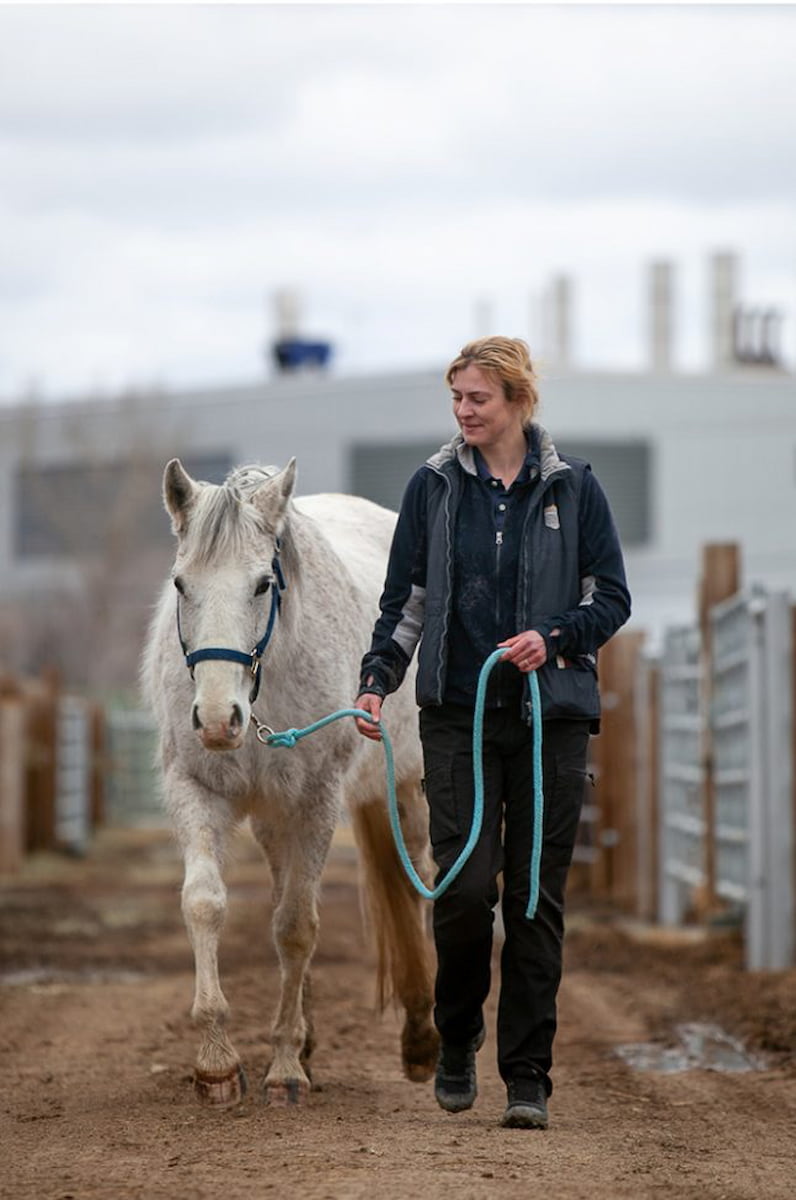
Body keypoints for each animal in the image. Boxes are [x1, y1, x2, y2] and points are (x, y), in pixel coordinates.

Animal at [141, 457, 438, 1106]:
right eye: (180, 584)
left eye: (261, 585)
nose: (218, 719)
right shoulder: (197, 791)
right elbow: (206, 904)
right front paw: (218, 1065)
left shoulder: (316, 802)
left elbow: (298, 927)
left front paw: (283, 1070)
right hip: (273, 818)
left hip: (406, 786)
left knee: (418, 882)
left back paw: (424, 1037)